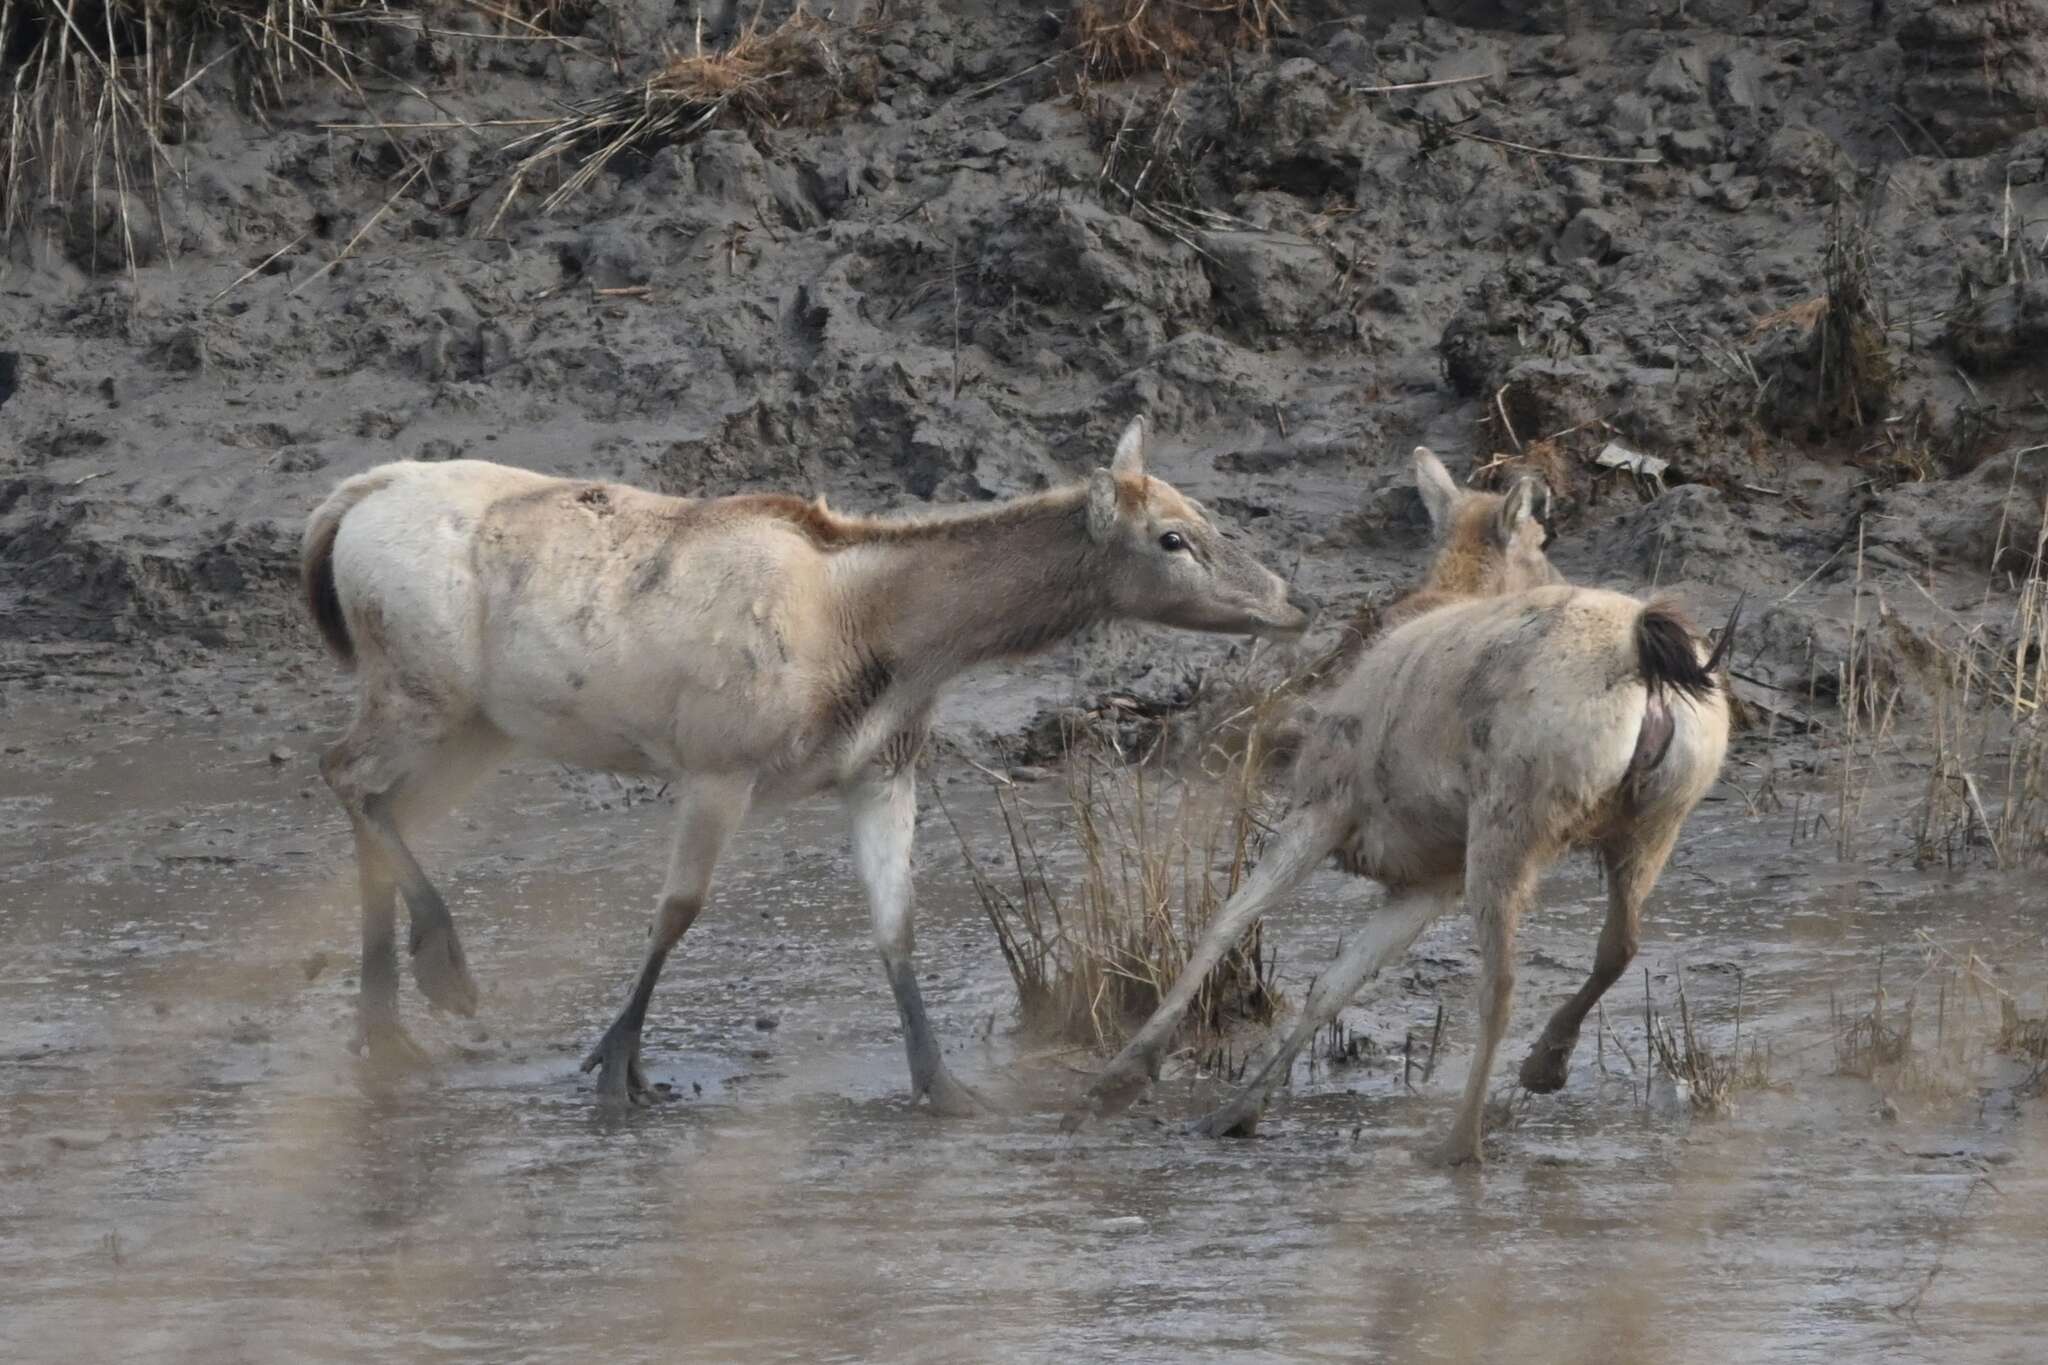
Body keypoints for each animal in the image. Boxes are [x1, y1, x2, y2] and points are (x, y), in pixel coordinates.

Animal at [299, 417, 1310, 1113]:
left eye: (1209, 516)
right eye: (1173, 537)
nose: (1290, 600)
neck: (882, 639)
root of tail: (348, 502)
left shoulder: (881, 768)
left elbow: (896, 927)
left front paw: (943, 1087)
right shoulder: (720, 760)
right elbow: (678, 910)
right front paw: (618, 1063)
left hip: (481, 726)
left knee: (376, 797)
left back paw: (383, 1025)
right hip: (419, 686)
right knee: (341, 769)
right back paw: (441, 972)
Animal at [1064, 448, 1736, 1162]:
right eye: (1544, 540)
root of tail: (1646, 661)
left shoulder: (1326, 803)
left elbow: (1229, 921)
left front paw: (1115, 1084)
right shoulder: (1429, 878)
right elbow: (1333, 984)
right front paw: (1234, 1111)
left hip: (1511, 819)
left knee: (1500, 986)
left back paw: (1461, 1145)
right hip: (1657, 822)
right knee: (1620, 945)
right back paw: (1543, 1067)